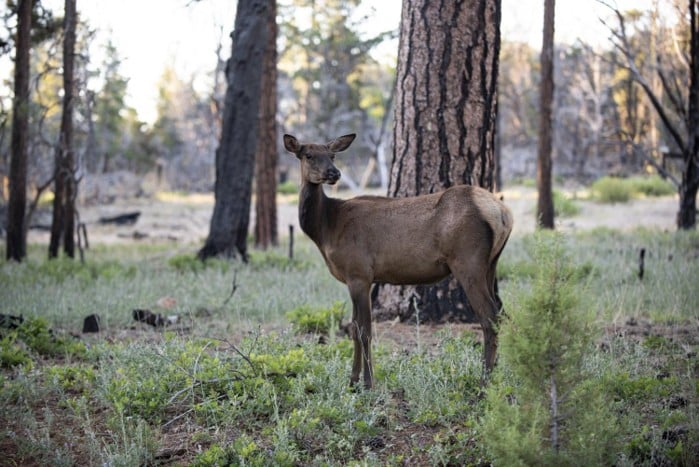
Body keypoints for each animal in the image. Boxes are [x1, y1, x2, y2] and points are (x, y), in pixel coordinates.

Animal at [283, 133, 513, 389]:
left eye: (332, 155)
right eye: (308, 155)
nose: (334, 173)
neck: (326, 229)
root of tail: (503, 213)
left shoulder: (359, 273)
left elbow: (365, 330)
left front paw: (368, 383)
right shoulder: (355, 278)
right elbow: (353, 327)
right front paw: (352, 381)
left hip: (468, 261)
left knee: (489, 317)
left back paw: (484, 381)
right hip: (491, 264)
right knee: (502, 313)